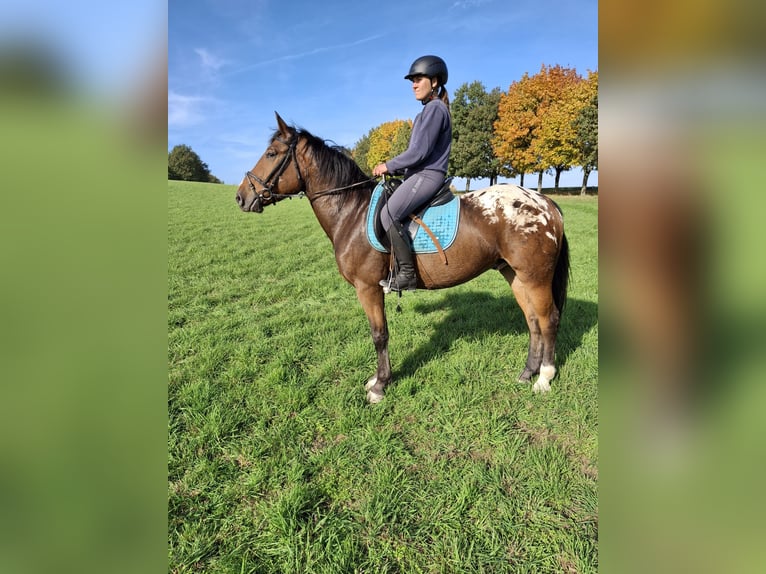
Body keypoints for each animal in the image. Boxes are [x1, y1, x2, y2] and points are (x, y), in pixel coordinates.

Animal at [236, 110, 568, 402]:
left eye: (271, 154)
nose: (241, 197)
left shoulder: (368, 287)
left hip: (536, 276)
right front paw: (378, 379)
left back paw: (544, 378)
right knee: (532, 321)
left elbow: (379, 334)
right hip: (515, 275)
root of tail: (544, 201)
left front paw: (380, 385)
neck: (351, 212)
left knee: (548, 319)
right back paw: (527, 373)